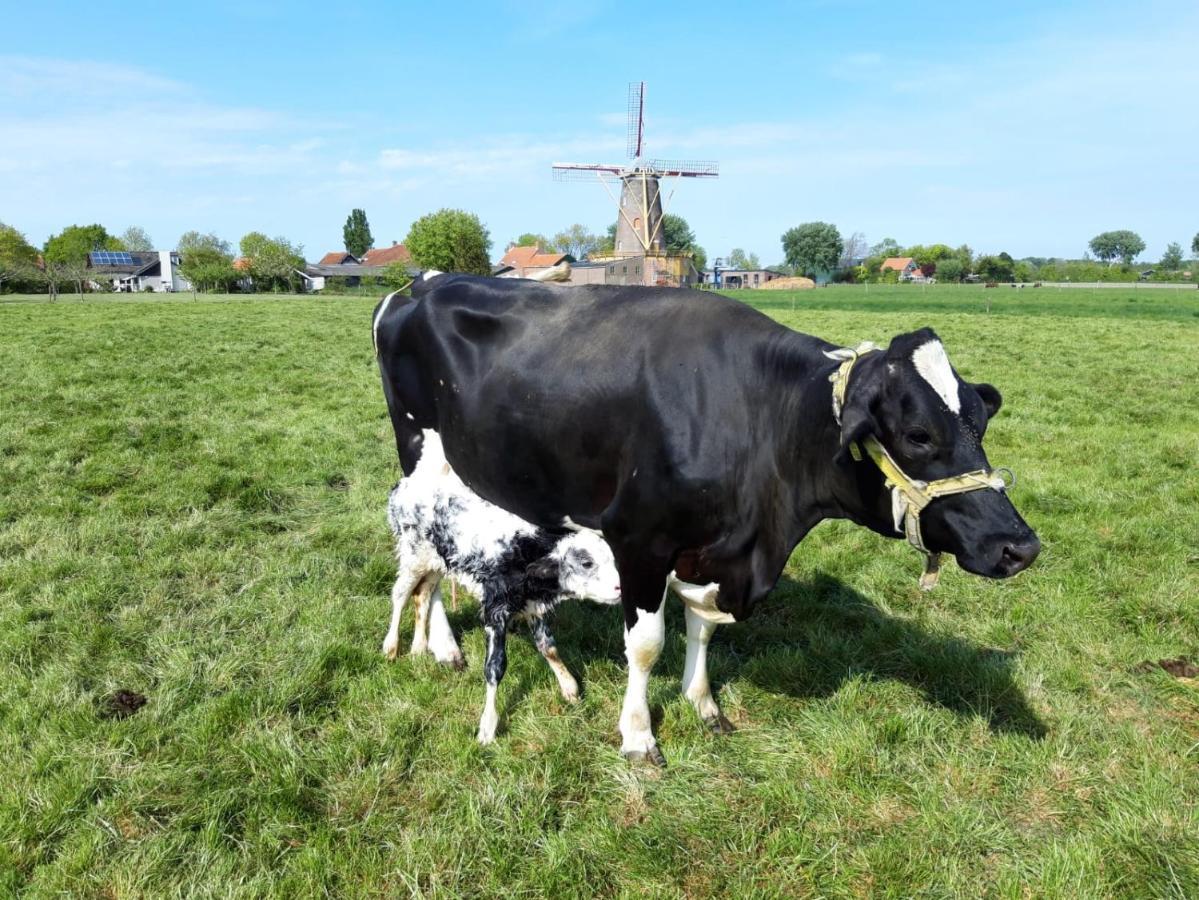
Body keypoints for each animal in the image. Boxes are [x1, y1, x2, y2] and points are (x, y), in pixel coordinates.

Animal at [383, 429, 623, 747]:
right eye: (586, 563)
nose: (621, 588)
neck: (526, 551)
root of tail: (408, 483)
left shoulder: (533, 605)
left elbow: (549, 647)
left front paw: (569, 686)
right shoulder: (495, 609)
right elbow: (495, 668)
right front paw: (487, 726)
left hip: (436, 562)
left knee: (422, 593)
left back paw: (419, 648)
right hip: (412, 554)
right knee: (400, 594)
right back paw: (391, 646)